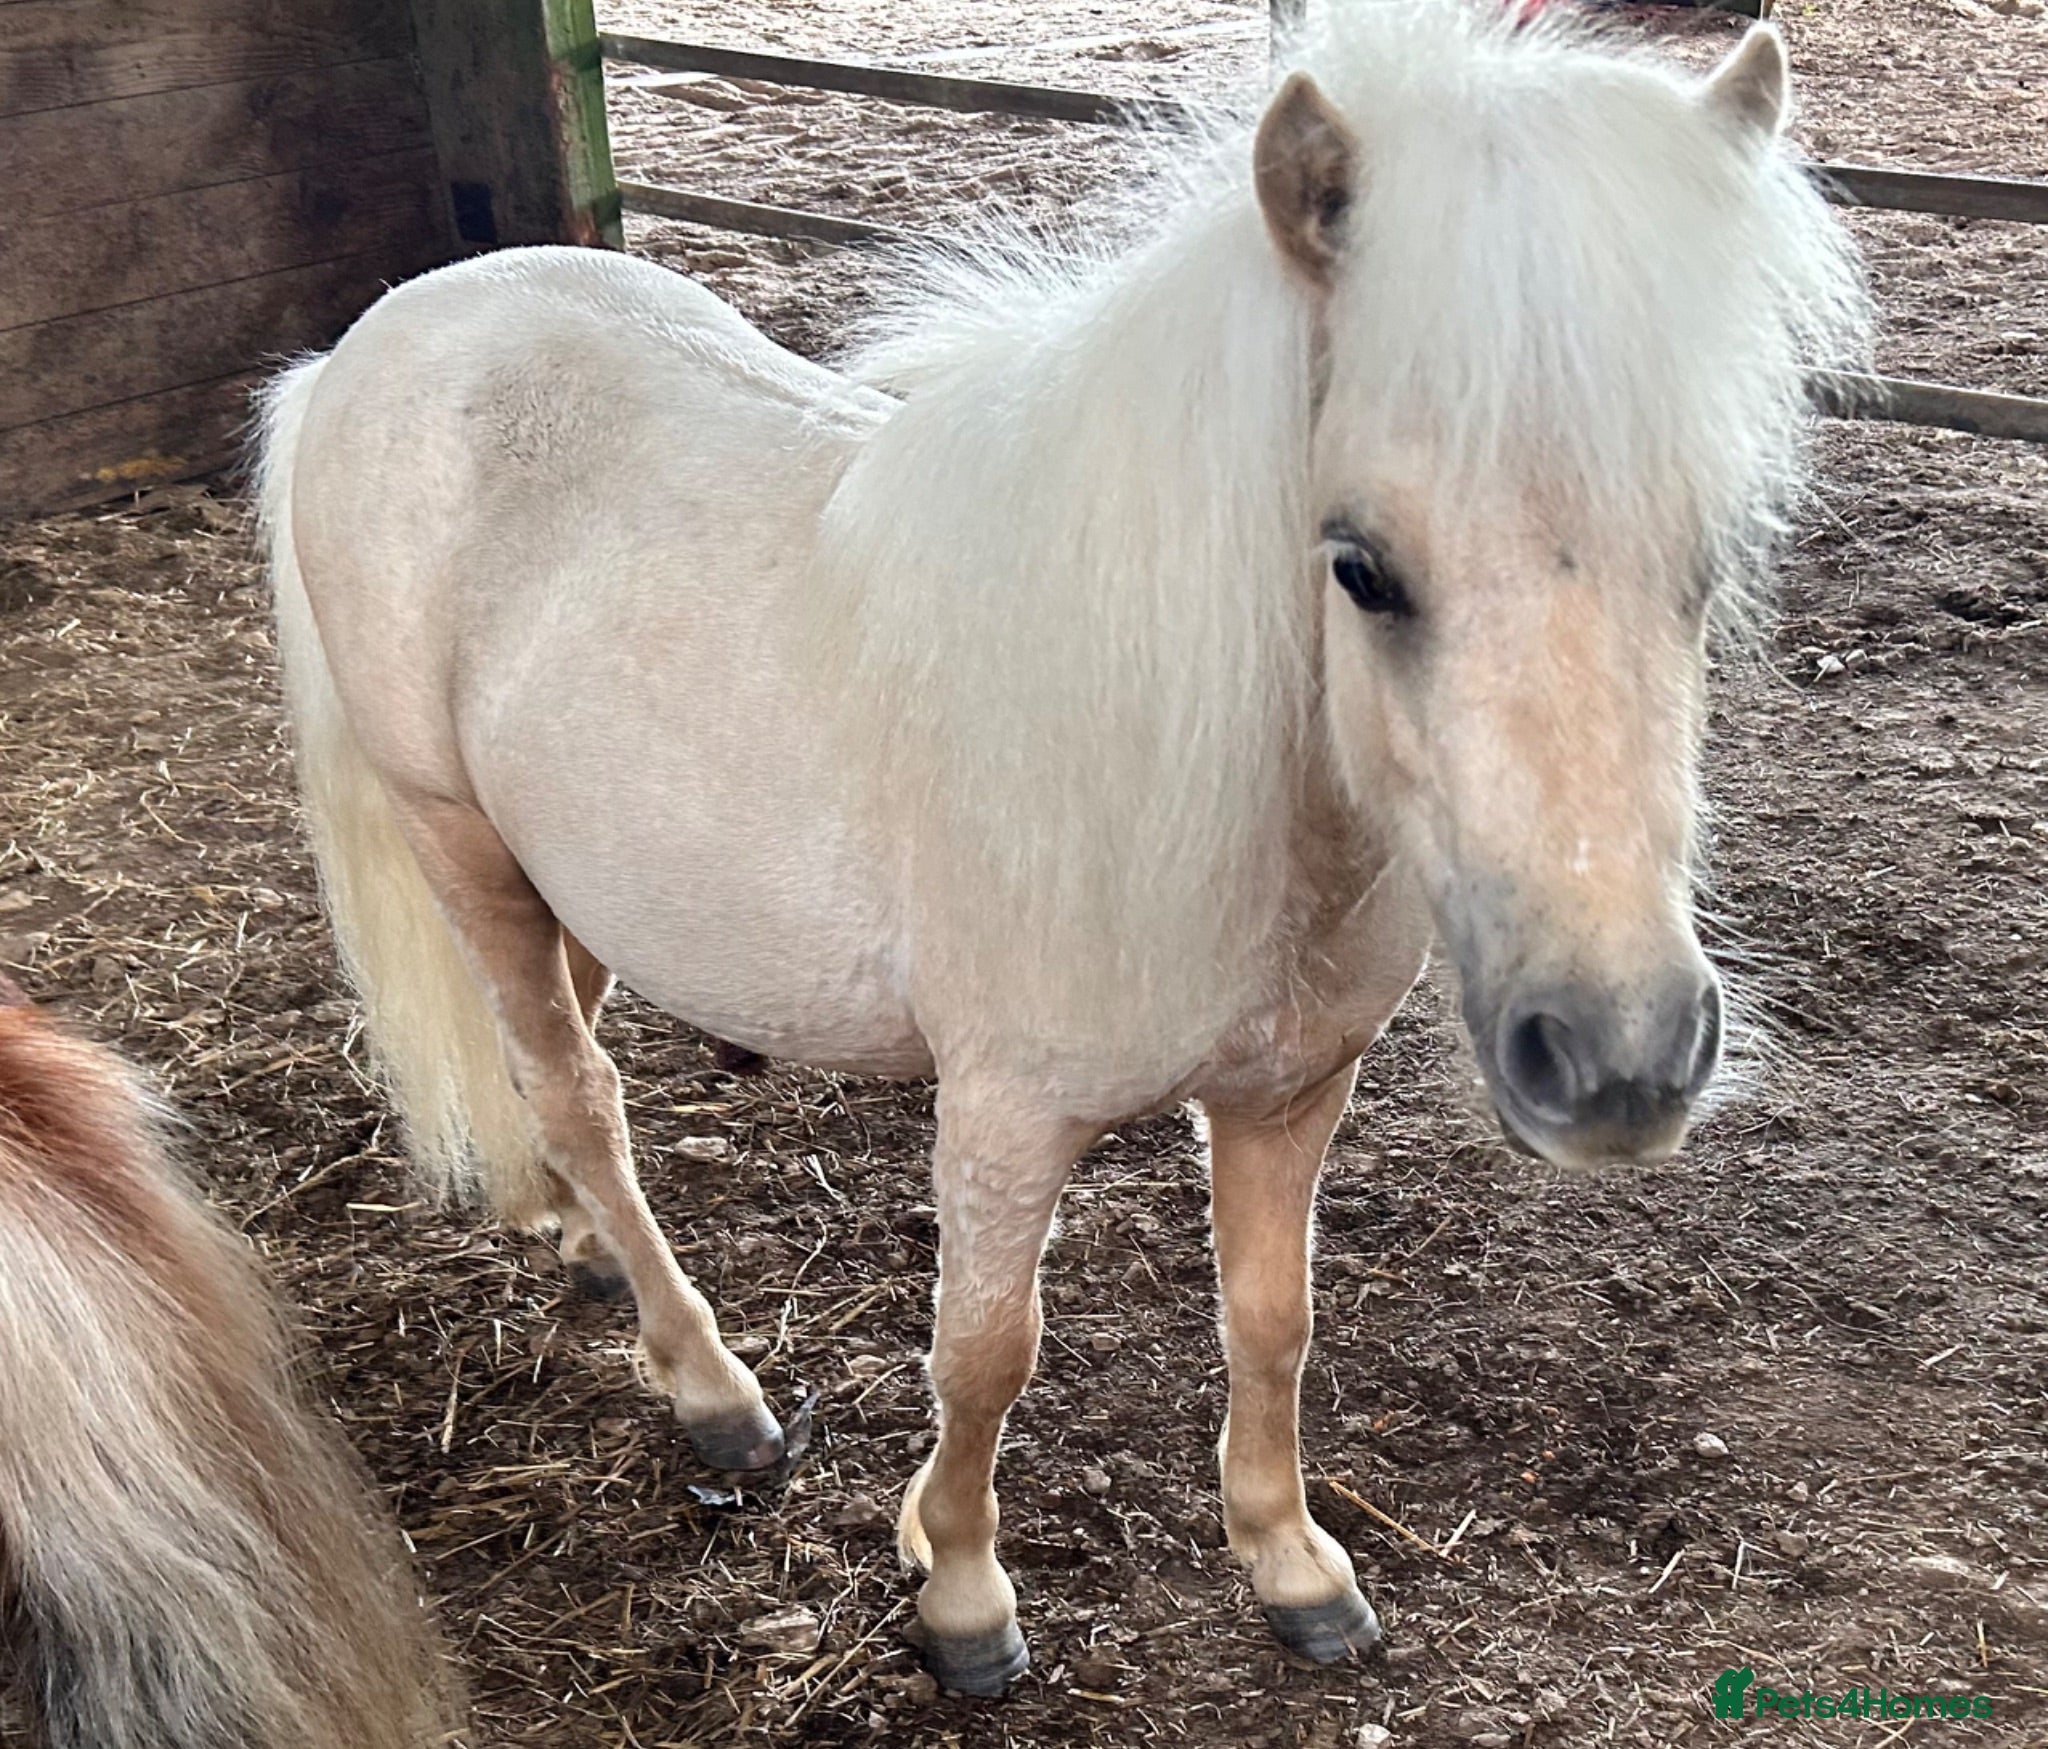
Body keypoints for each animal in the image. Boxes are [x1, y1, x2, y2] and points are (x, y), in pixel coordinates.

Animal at [255, 0, 1866, 1696]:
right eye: (1359, 565)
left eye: (1709, 558)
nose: (1620, 1060)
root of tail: (374, 345)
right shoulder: (1004, 1116)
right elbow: (984, 1352)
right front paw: (962, 1593)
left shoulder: (1291, 1092)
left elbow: (1272, 1319)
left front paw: (1290, 1564)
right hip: (455, 842)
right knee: (578, 1094)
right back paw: (710, 1388)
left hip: (557, 869)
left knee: (557, 1055)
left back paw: (577, 1247)